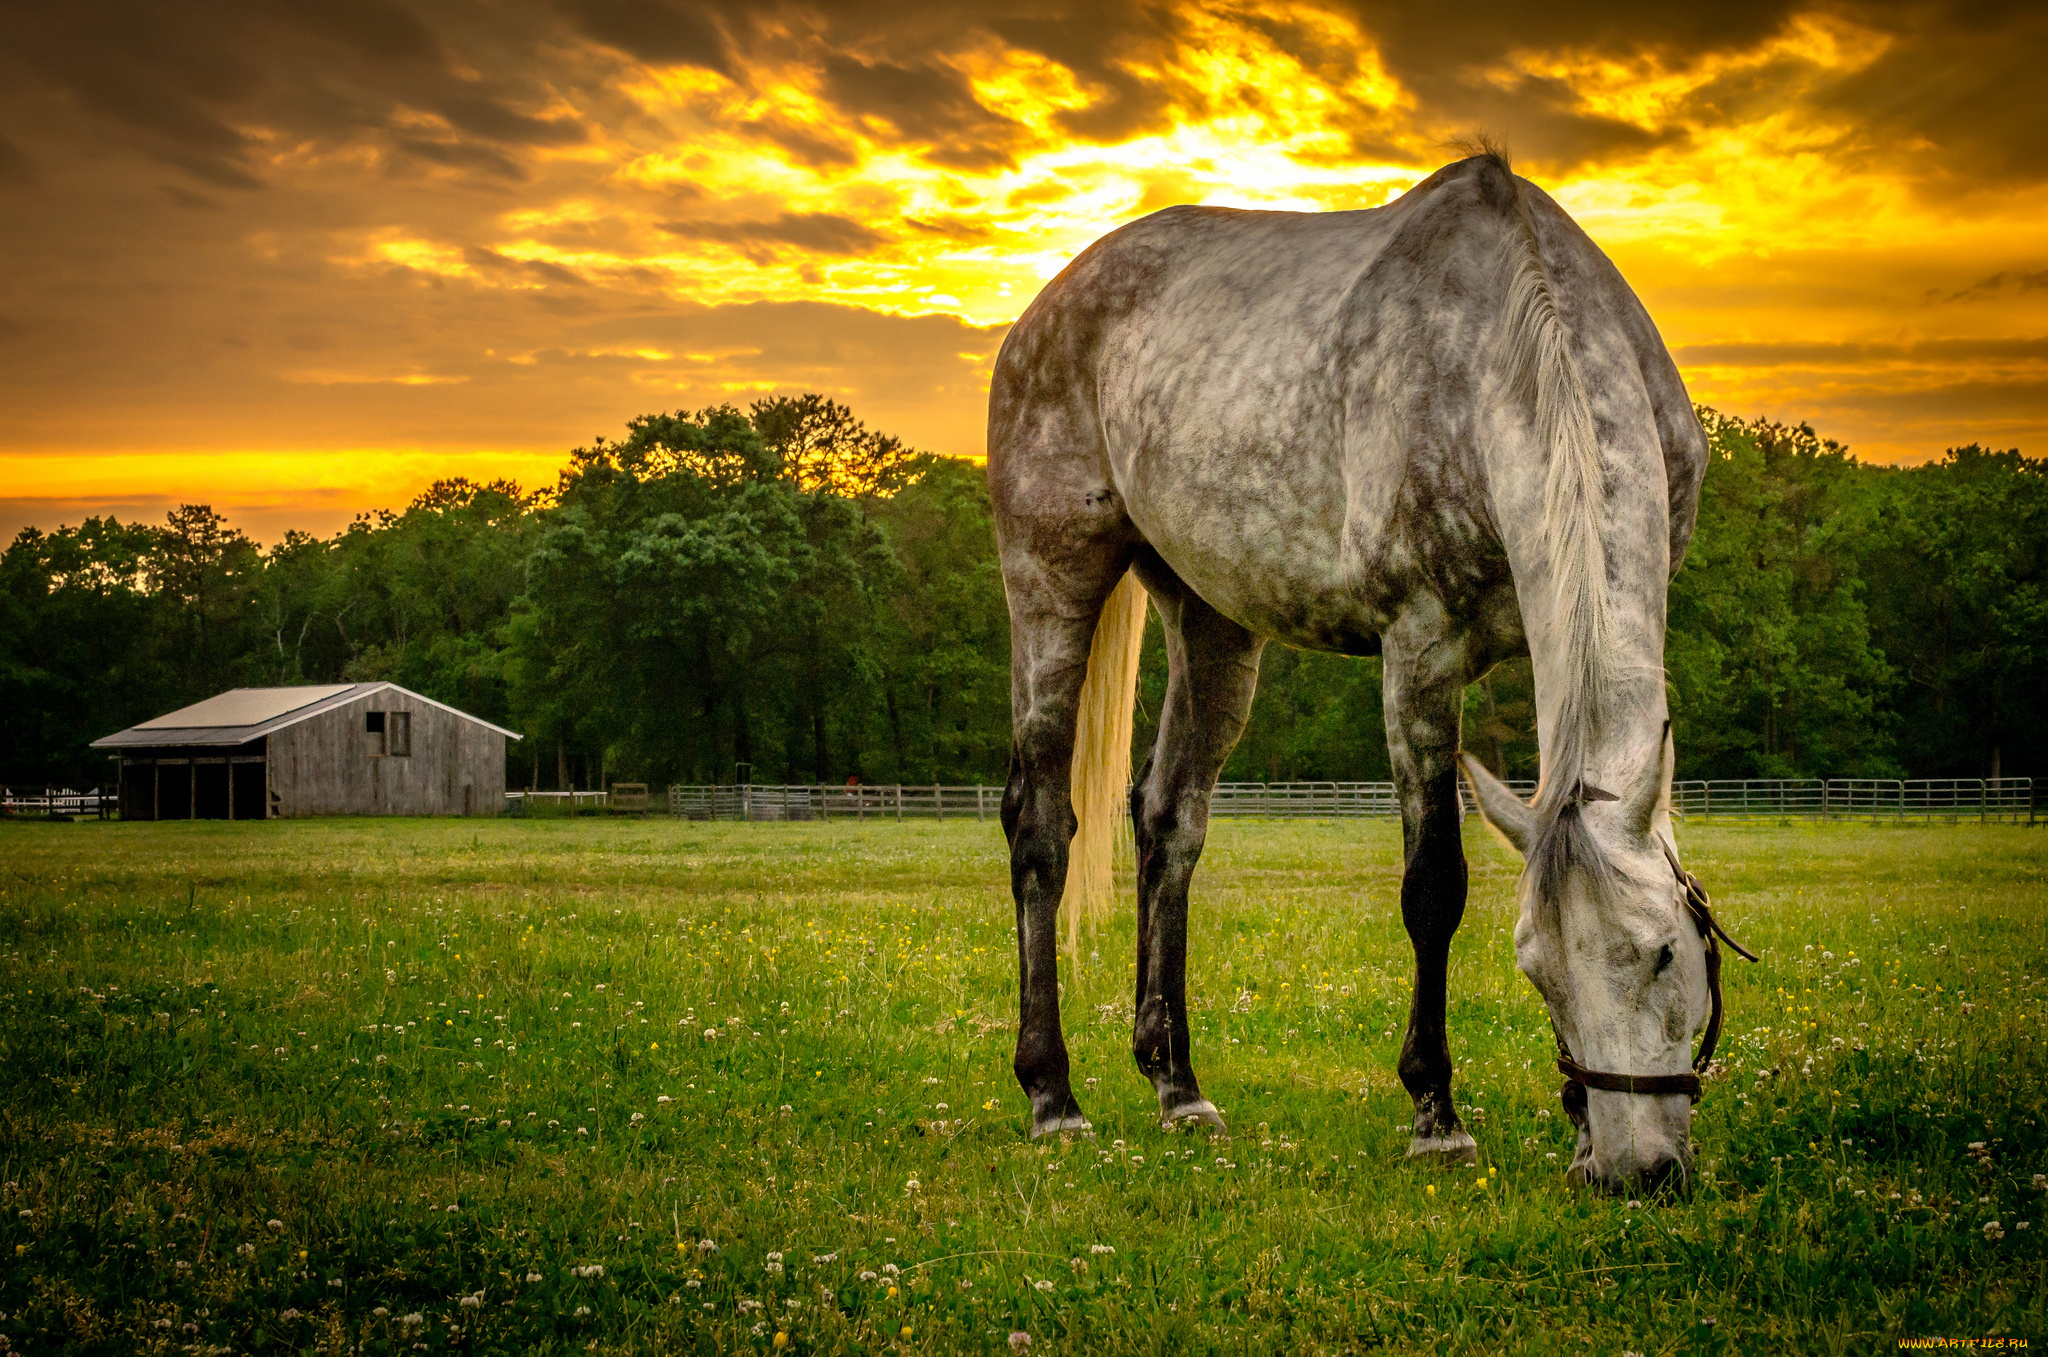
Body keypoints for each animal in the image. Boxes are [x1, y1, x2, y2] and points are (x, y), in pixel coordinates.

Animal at [983, 148, 1720, 1195]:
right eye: (1535, 967)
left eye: (1664, 952)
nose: (1634, 1169)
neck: (1510, 336)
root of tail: (1046, 308)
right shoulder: (1420, 652)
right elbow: (1434, 884)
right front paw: (1436, 1111)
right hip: (1052, 581)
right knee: (1040, 825)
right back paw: (1053, 1095)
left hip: (1210, 621)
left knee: (1169, 824)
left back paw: (1178, 1086)